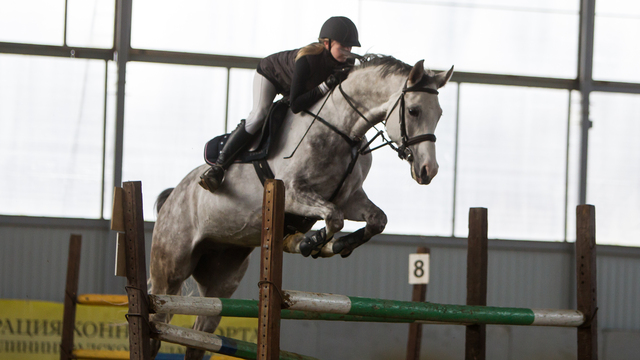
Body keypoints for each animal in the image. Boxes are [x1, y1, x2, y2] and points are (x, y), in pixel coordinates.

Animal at [148, 52, 452, 358]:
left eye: (439, 114)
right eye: (413, 111)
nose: (428, 171)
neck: (342, 130)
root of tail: (172, 197)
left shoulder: (350, 198)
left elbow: (376, 220)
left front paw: (336, 245)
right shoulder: (294, 193)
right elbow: (334, 218)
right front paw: (311, 242)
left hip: (223, 276)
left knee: (200, 334)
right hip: (170, 267)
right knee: (158, 319)